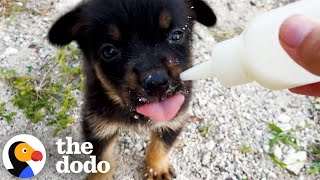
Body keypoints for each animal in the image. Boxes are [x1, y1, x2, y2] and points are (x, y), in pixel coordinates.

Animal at [48, 0, 216, 179]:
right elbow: (103, 159)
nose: (156, 82)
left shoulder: (175, 118)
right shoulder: (96, 123)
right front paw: (99, 177)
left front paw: (157, 169)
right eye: (109, 51)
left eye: (176, 35)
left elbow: (161, 146)